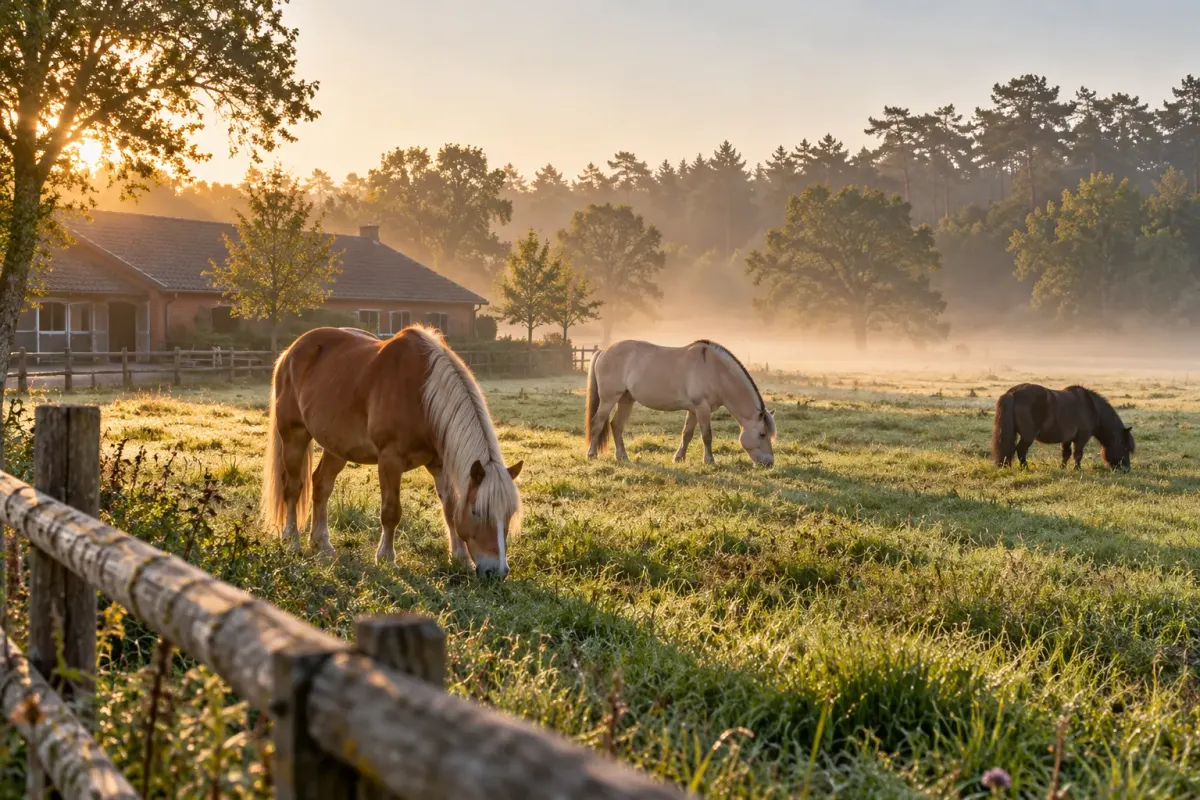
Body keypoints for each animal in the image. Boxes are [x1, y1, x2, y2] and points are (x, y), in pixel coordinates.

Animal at [262, 325, 523, 578]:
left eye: (509, 514)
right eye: (478, 512)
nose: (497, 572)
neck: (421, 394)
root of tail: (289, 353)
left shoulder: (439, 463)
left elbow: (450, 508)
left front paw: (460, 558)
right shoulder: (390, 460)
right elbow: (391, 512)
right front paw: (386, 558)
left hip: (336, 447)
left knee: (321, 485)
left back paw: (322, 544)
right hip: (294, 437)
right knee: (293, 488)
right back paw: (291, 540)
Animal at [585, 339, 776, 466]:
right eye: (762, 434)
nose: (769, 463)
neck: (716, 370)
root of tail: (603, 351)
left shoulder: (694, 410)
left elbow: (687, 434)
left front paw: (679, 457)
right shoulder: (702, 408)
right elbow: (706, 435)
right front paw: (709, 460)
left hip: (626, 400)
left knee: (616, 425)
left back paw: (622, 456)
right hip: (609, 399)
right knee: (598, 423)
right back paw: (592, 454)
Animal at [992, 383, 1134, 471]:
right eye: (1125, 447)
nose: (1127, 469)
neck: (1093, 408)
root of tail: (1013, 393)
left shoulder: (1067, 438)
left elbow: (1066, 454)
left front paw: (1063, 468)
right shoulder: (1082, 437)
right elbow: (1078, 454)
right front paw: (1077, 469)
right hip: (1028, 436)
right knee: (1021, 450)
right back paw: (1025, 468)